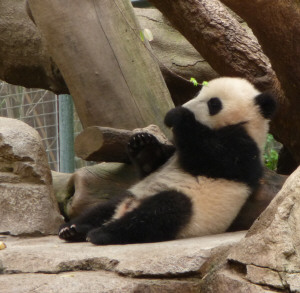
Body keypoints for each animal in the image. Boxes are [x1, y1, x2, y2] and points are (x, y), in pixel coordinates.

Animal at [58, 76, 276, 243]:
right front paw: (142, 143)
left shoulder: (243, 149)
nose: (184, 105)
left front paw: (178, 115)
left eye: (214, 103)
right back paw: (73, 229)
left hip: (190, 208)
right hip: (129, 194)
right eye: (197, 94)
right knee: (101, 210)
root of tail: (125, 210)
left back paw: (101, 234)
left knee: (159, 214)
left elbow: (212, 157)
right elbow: (152, 165)